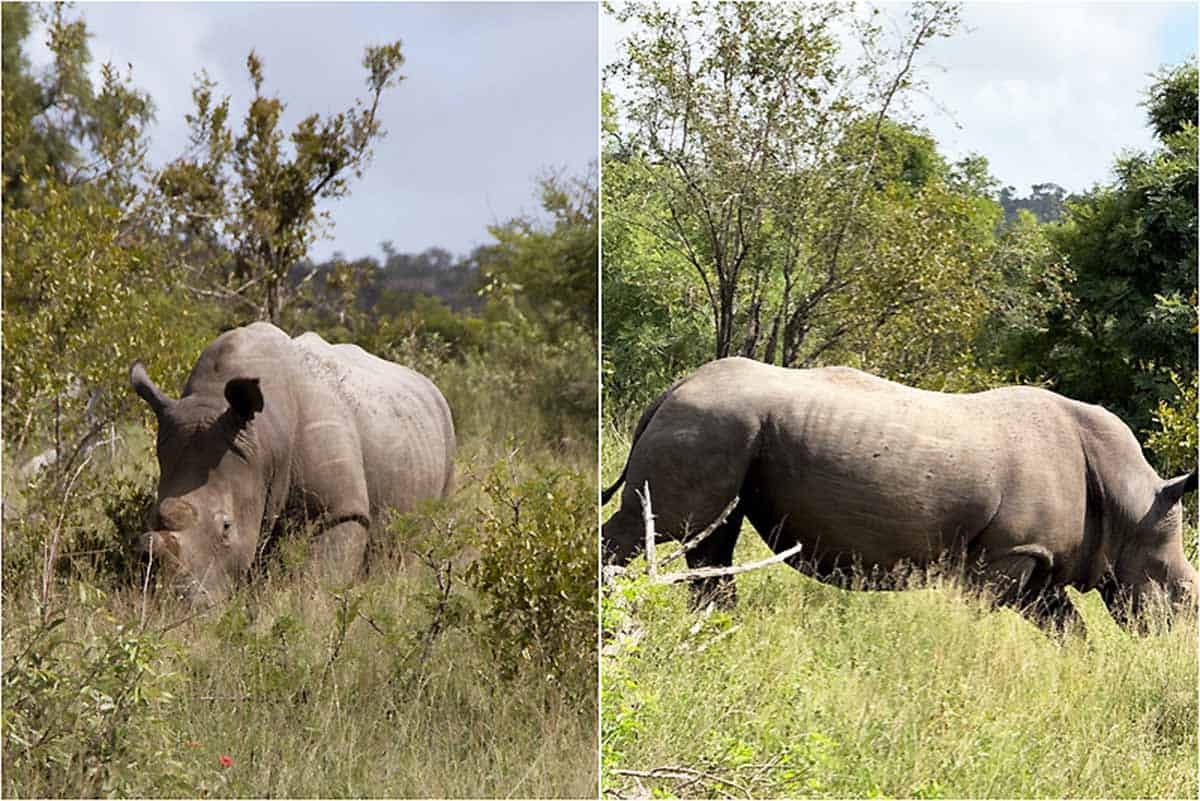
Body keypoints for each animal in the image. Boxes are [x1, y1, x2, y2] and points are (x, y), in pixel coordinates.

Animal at [129, 321, 451, 599]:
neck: (265, 437)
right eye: (151, 520)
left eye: (227, 527)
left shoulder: (340, 510)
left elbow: (322, 577)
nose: (180, 602)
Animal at [604, 357, 1195, 623]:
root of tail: (675, 387)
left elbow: (1066, 626)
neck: (1129, 503)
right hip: (710, 422)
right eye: (1183, 594)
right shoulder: (1010, 552)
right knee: (658, 528)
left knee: (711, 539)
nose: (1171, 643)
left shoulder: (1038, 559)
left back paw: (718, 629)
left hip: (726, 429)